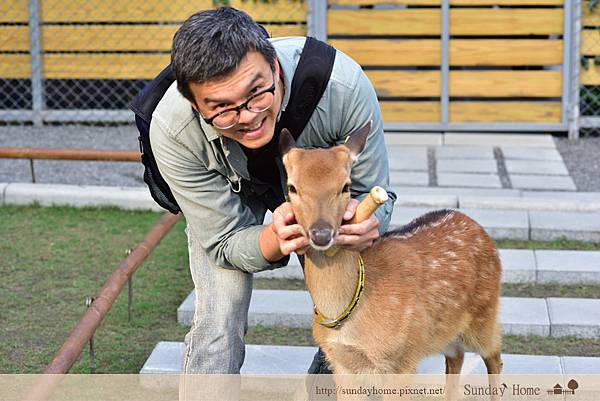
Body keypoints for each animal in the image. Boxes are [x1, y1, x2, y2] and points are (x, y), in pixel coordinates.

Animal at [280, 123, 502, 398]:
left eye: (346, 186)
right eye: (292, 187)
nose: (321, 233)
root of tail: (478, 229)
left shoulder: (401, 359)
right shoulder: (340, 362)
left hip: (485, 313)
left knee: (494, 354)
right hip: (445, 331)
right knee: (456, 356)